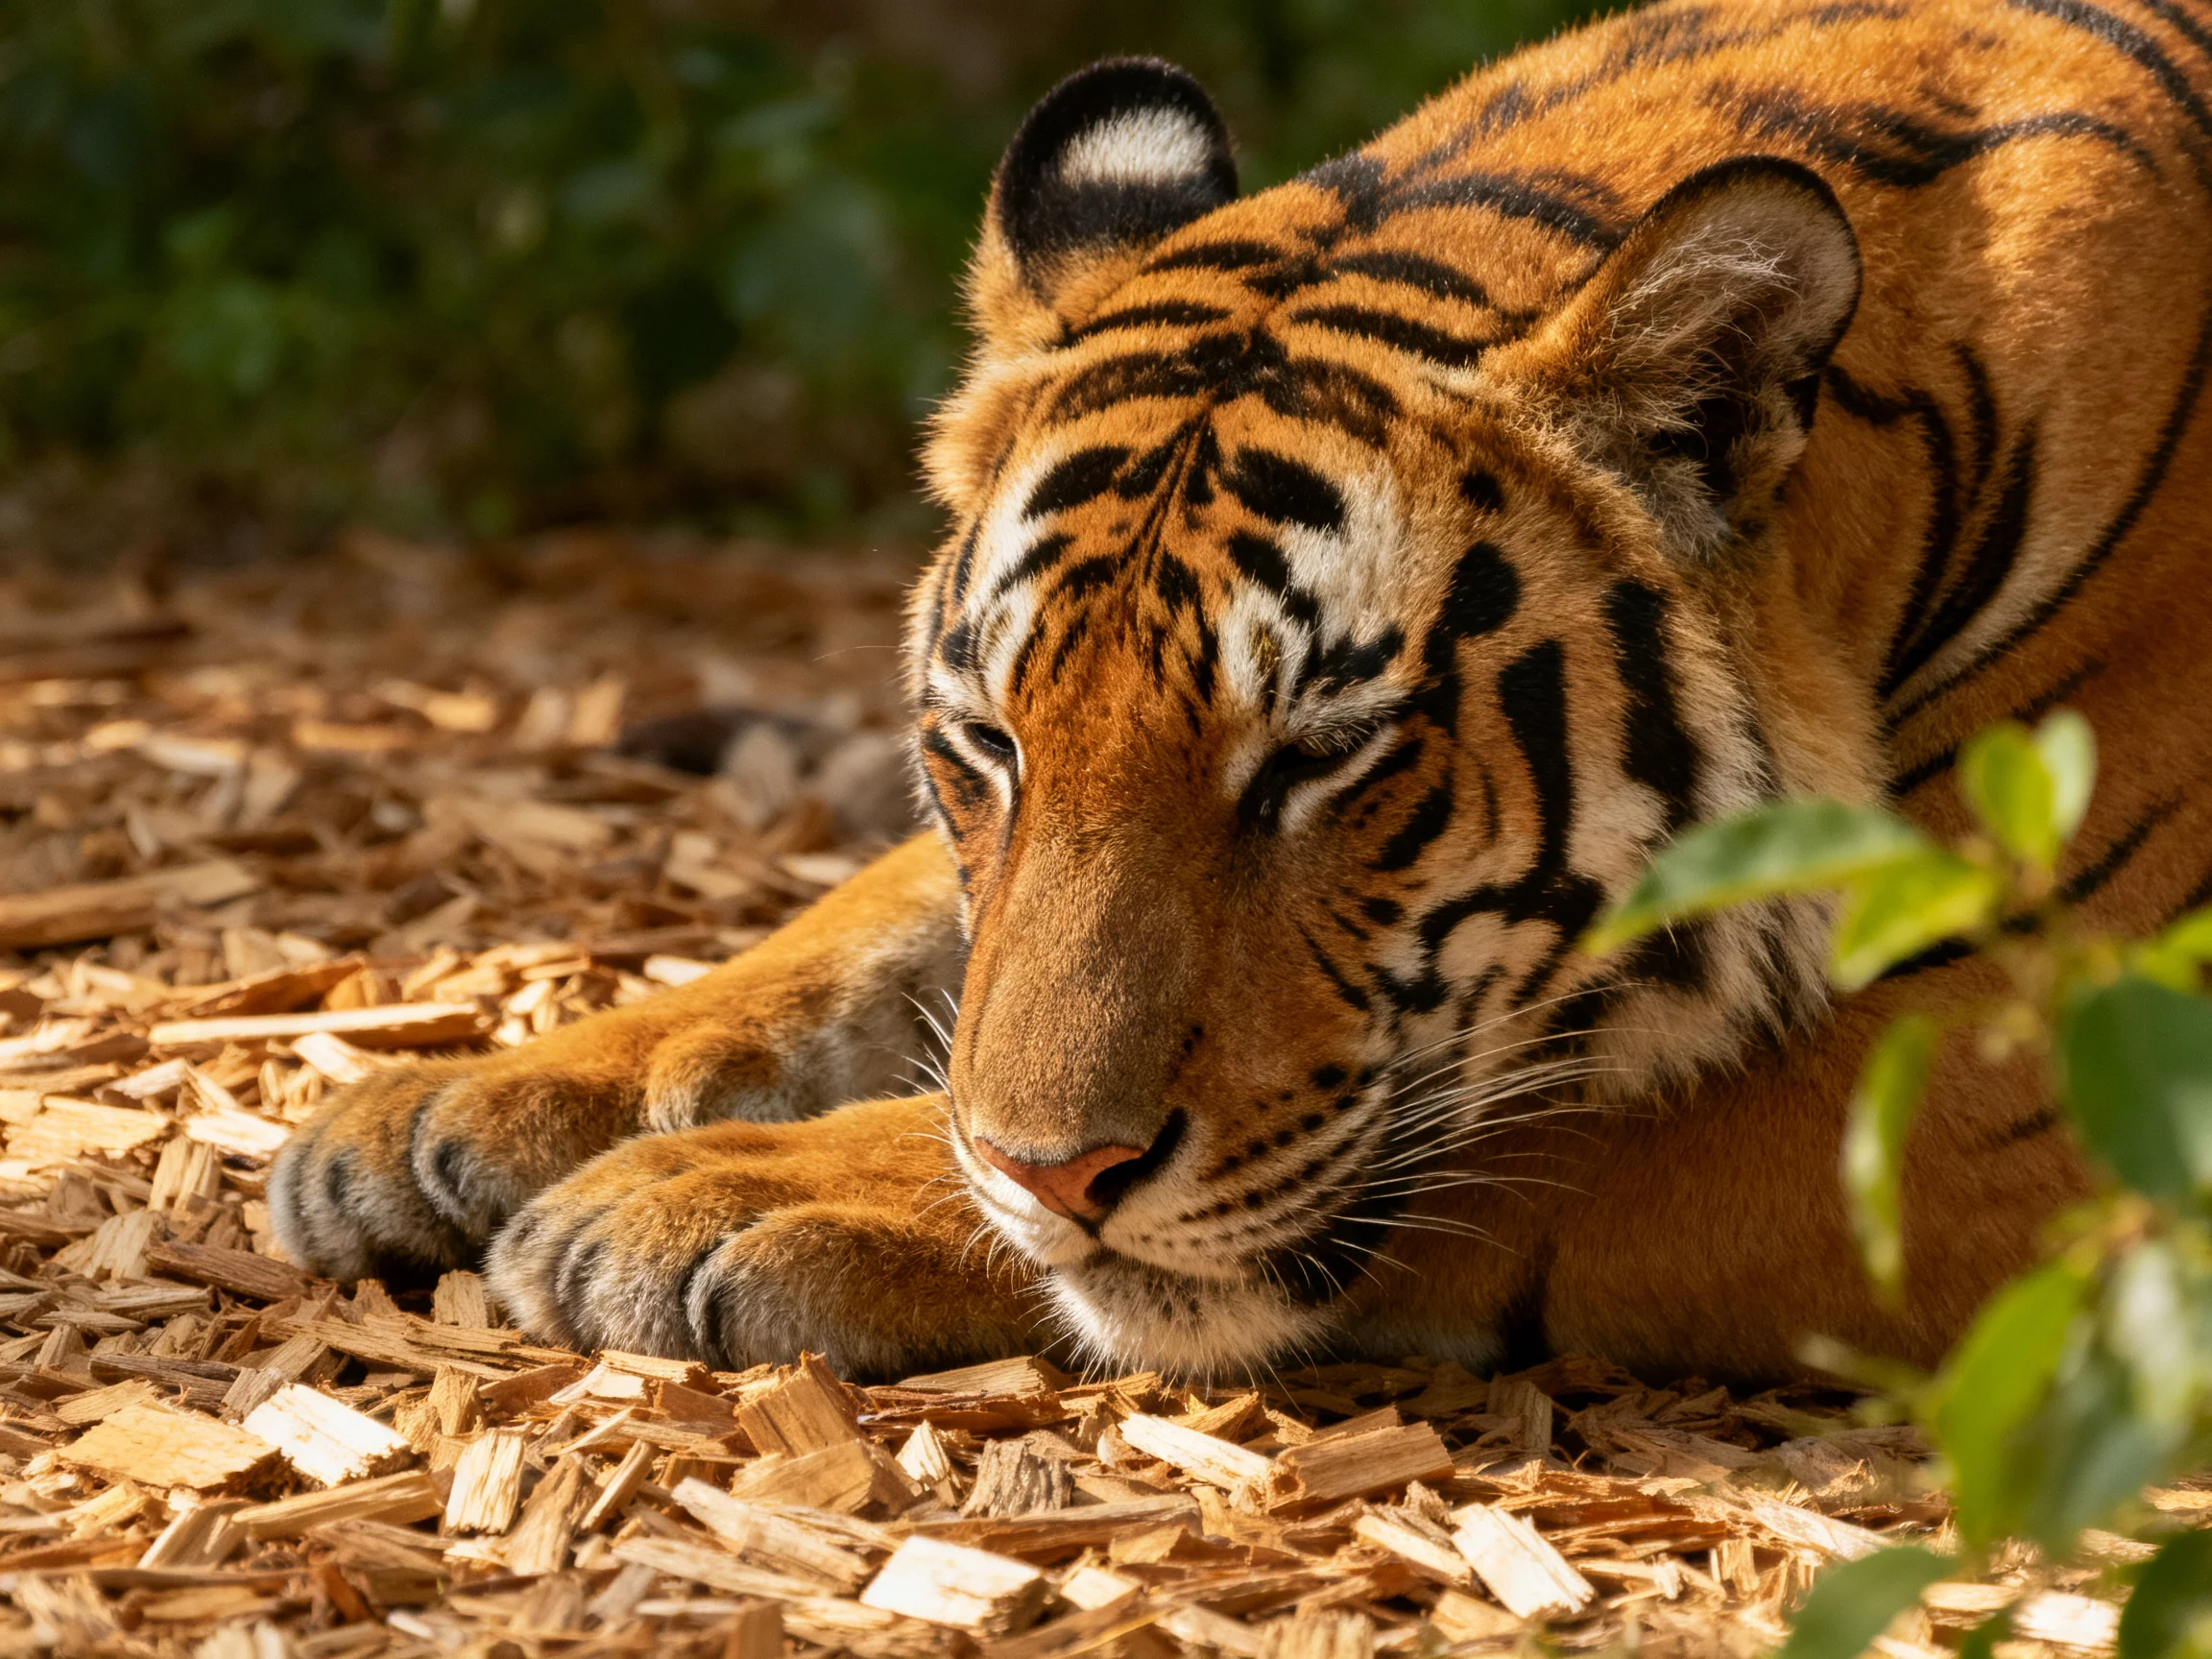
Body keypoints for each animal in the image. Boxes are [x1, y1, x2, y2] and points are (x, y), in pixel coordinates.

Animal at [270, 0, 2212, 1384]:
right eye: (989, 745)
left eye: (1321, 758)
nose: (1050, 1179)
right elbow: (867, 927)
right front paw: (449, 1106)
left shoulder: (2031, 1070)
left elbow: (1535, 1142)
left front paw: (732, 1194)